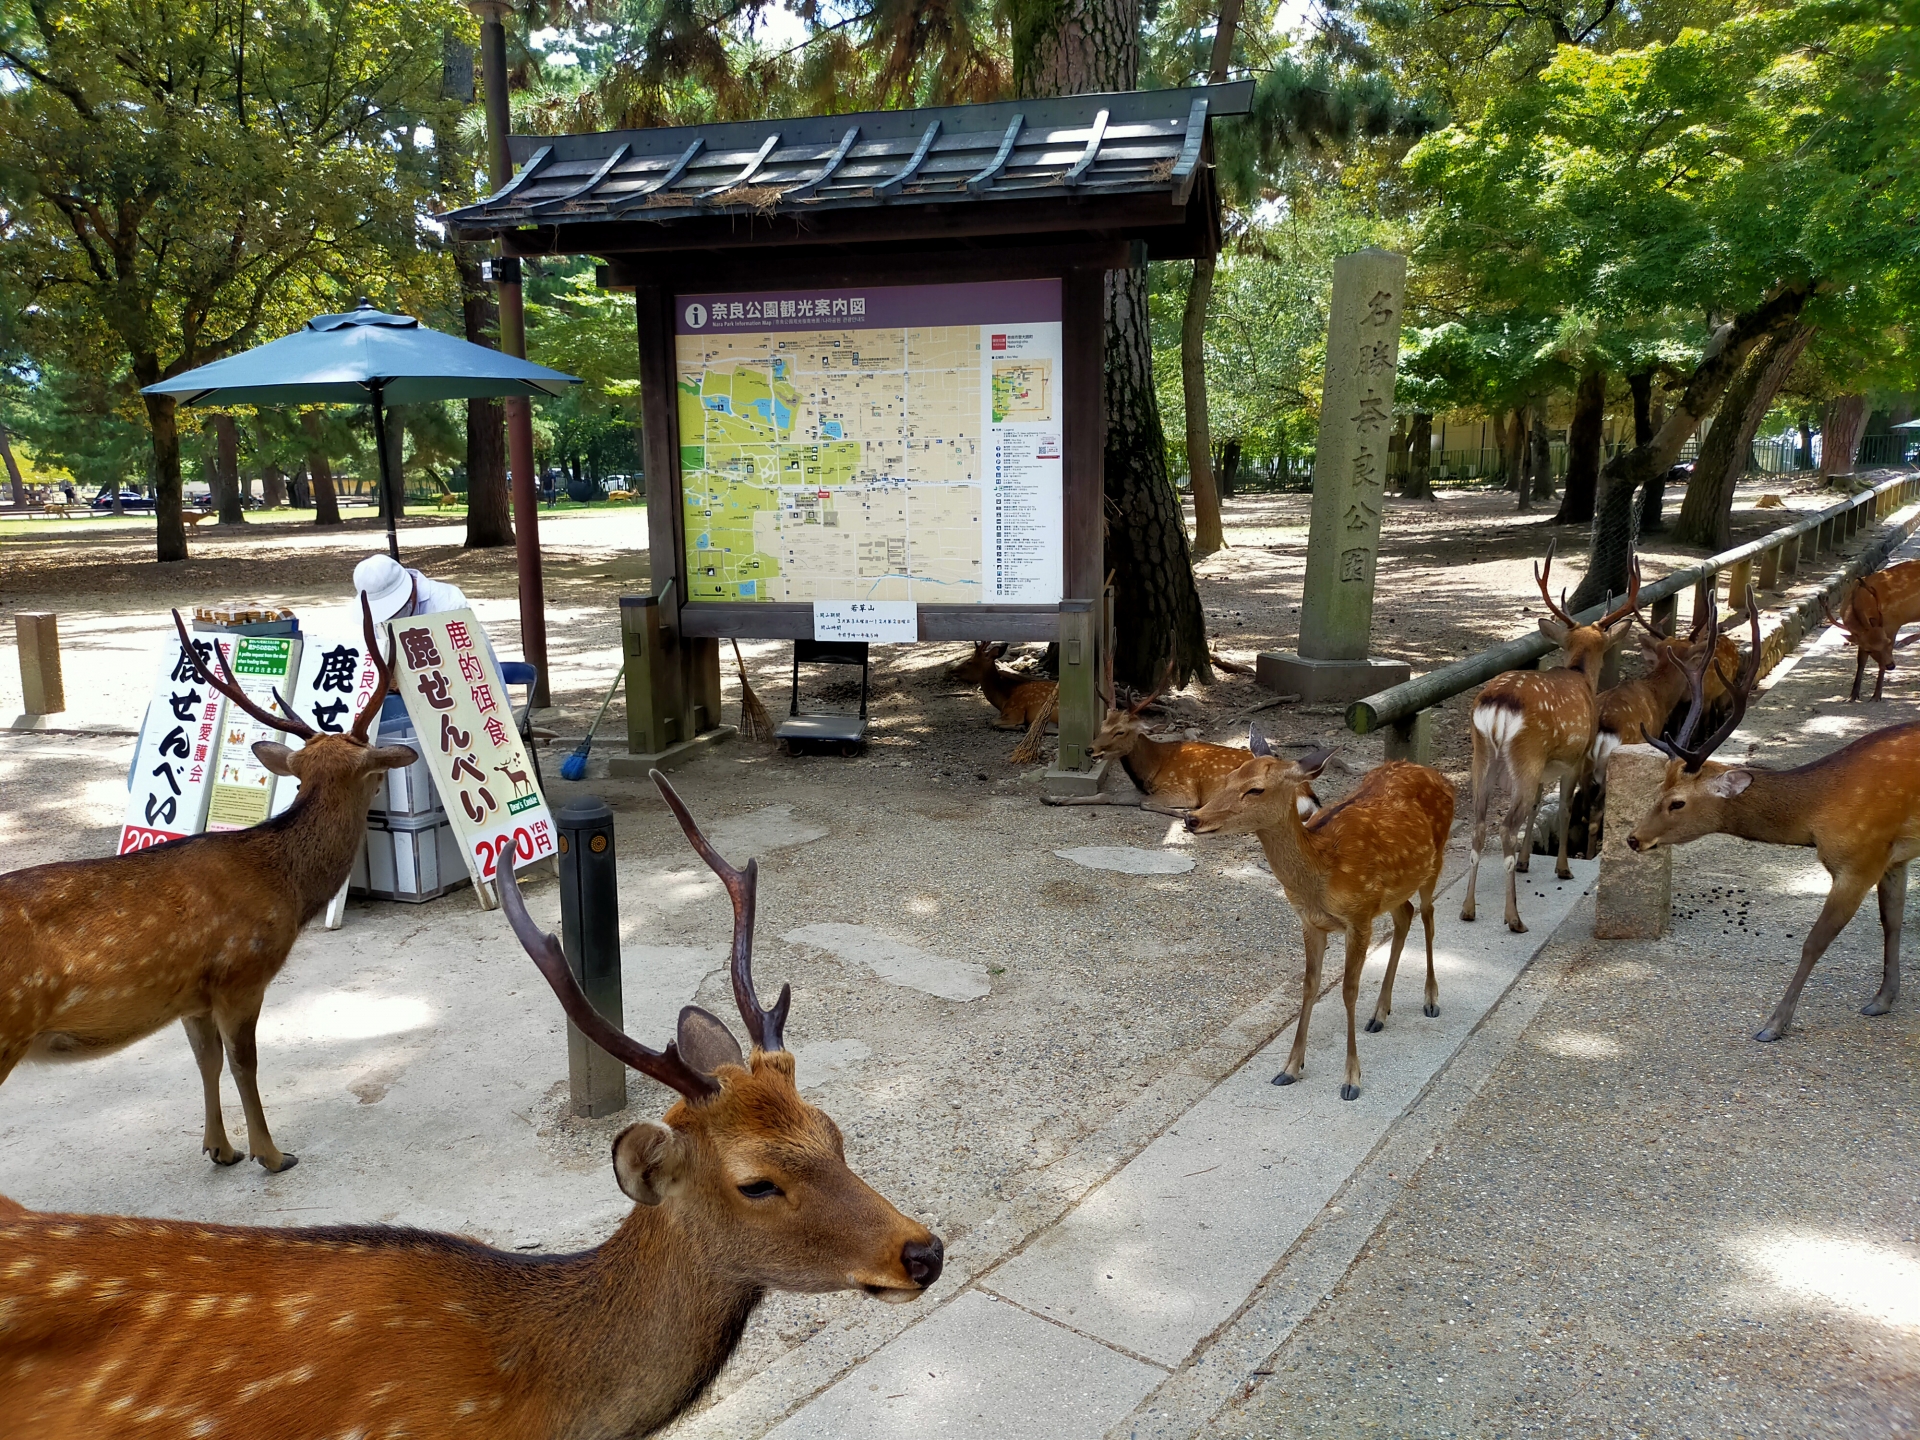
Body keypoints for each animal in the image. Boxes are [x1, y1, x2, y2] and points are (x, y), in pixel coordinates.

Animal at [0, 599, 414, 1173]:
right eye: (374, 768)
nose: (387, 780)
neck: (283, 887)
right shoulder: (241, 974)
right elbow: (244, 1064)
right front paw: (271, 1153)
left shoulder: (191, 994)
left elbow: (206, 1063)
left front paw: (220, 1148)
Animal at [1187, 728, 1454, 1100]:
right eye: (1227, 778)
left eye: (1256, 789)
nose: (1192, 818)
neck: (1323, 868)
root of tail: (1437, 774)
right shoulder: (1310, 921)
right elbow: (1308, 985)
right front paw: (1289, 1068)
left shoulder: (1359, 917)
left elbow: (1348, 990)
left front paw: (1351, 1079)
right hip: (1395, 890)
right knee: (1406, 914)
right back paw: (1379, 1014)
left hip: (1435, 859)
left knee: (1428, 914)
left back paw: (1430, 999)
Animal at [1462, 542, 1640, 932]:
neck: (1582, 677)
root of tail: (1499, 705)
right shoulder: (1577, 758)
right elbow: (1564, 807)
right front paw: (1563, 868)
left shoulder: (1545, 765)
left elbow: (1536, 806)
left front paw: (1528, 860)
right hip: (1525, 753)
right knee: (1504, 826)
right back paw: (1514, 918)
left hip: (1484, 756)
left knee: (1479, 824)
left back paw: (1468, 909)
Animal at [1627, 594, 1916, 1040]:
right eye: (1658, 789)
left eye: (1676, 803)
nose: (1634, 838)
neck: (1820, 811)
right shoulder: (1893, 856)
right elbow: (1892, 922)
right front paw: (1883, 999)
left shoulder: (1860, 858)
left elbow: (1814, 941)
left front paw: (1773, 1024)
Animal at [1819, 559, 1920, 701]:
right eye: (1869, 650)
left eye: (1888, 642)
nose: (1891, 666)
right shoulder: (1859, 637)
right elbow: (1861, 661)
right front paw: (1852, 696)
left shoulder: (1891, 625)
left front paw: (1877, 695)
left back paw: (1903, 642)